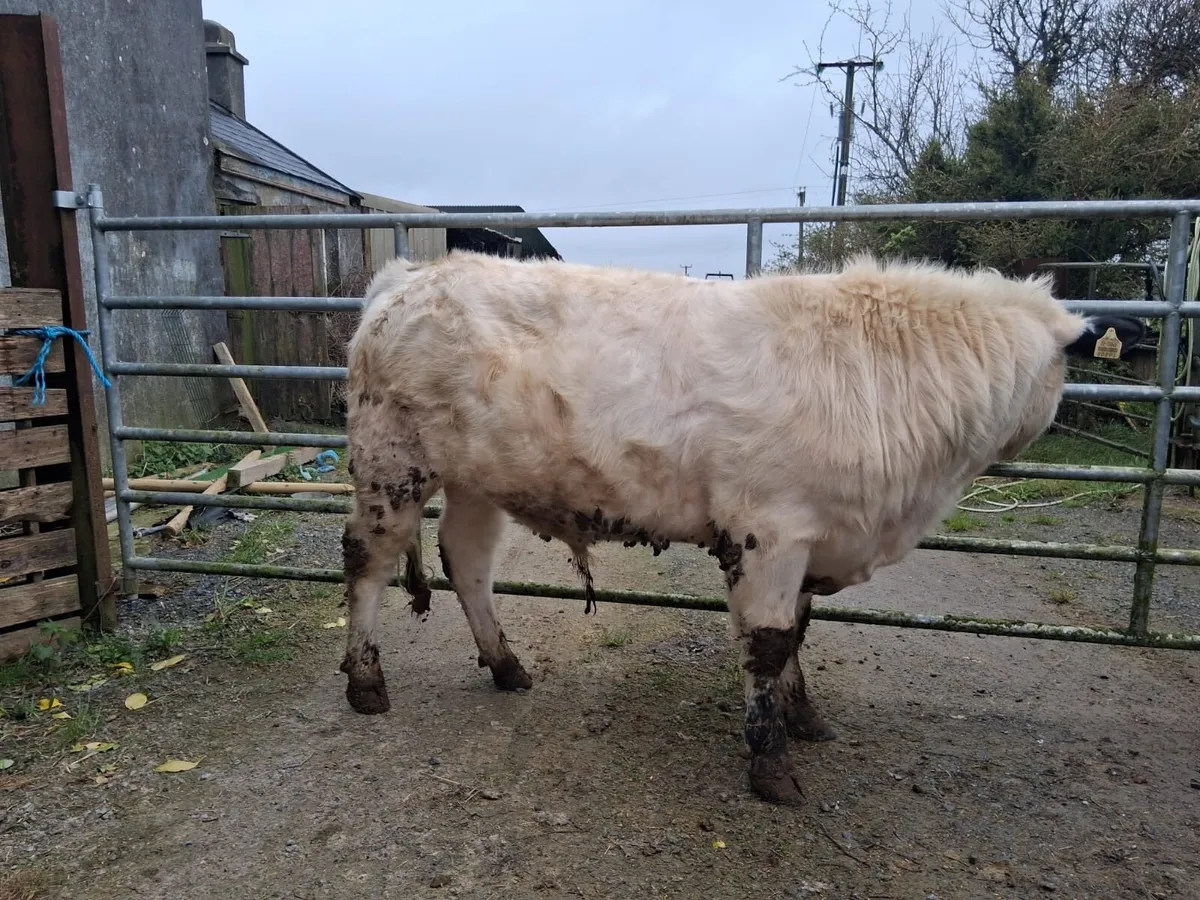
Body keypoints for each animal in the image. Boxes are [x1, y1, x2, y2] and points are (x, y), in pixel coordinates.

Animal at [338, 249, 1144, 805]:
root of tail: (414, 275)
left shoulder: (814, 536)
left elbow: (799, 634)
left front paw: (804, 714)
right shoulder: (770, 531)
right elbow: (769, 642)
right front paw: (771, 762)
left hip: (477, 478)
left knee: (468, 561)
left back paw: (505, 665)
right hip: (391, 464)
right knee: (367, 561)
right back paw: (367, 682)